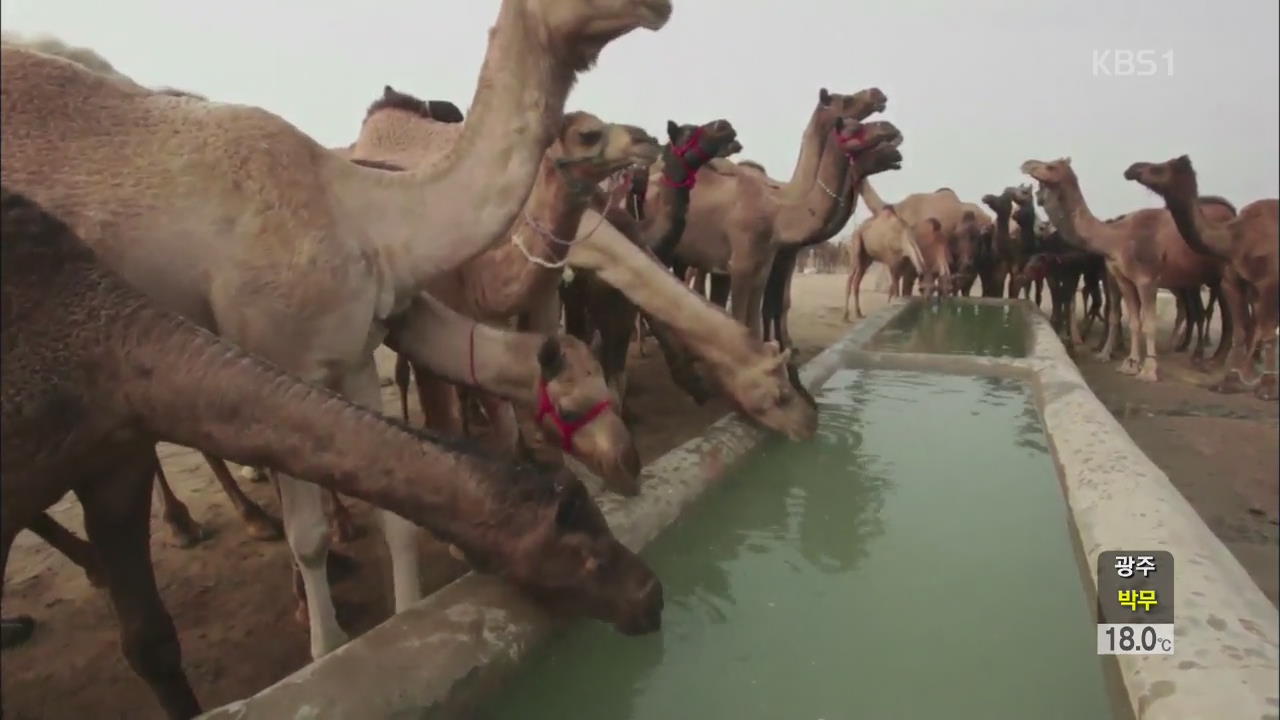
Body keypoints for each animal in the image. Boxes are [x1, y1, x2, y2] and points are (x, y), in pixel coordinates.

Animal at [2, 0, 680, 655]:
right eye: (571, 407)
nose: (630, 463)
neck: (363, 213)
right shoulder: (275, 352)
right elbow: (307, 533)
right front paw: (326, 646)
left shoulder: (355, 350)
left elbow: (396, 516)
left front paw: (405, 618)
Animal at [655, 86, 885, 335]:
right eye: (847, 100)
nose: (878, 94)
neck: (780, 203)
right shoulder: (747, 263)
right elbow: (750, 313)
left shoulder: (768, 262)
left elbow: (762, 313)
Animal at [1013, 157, 1233, 381]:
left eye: (1050, 166)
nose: (1026, 164)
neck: (1116, 238)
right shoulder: (1124, 279)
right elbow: (1134, 321)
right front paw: (1130, 363)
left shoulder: (1146, 279)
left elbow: (1148, 324)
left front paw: (1148, 370)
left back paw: (1209, 359)